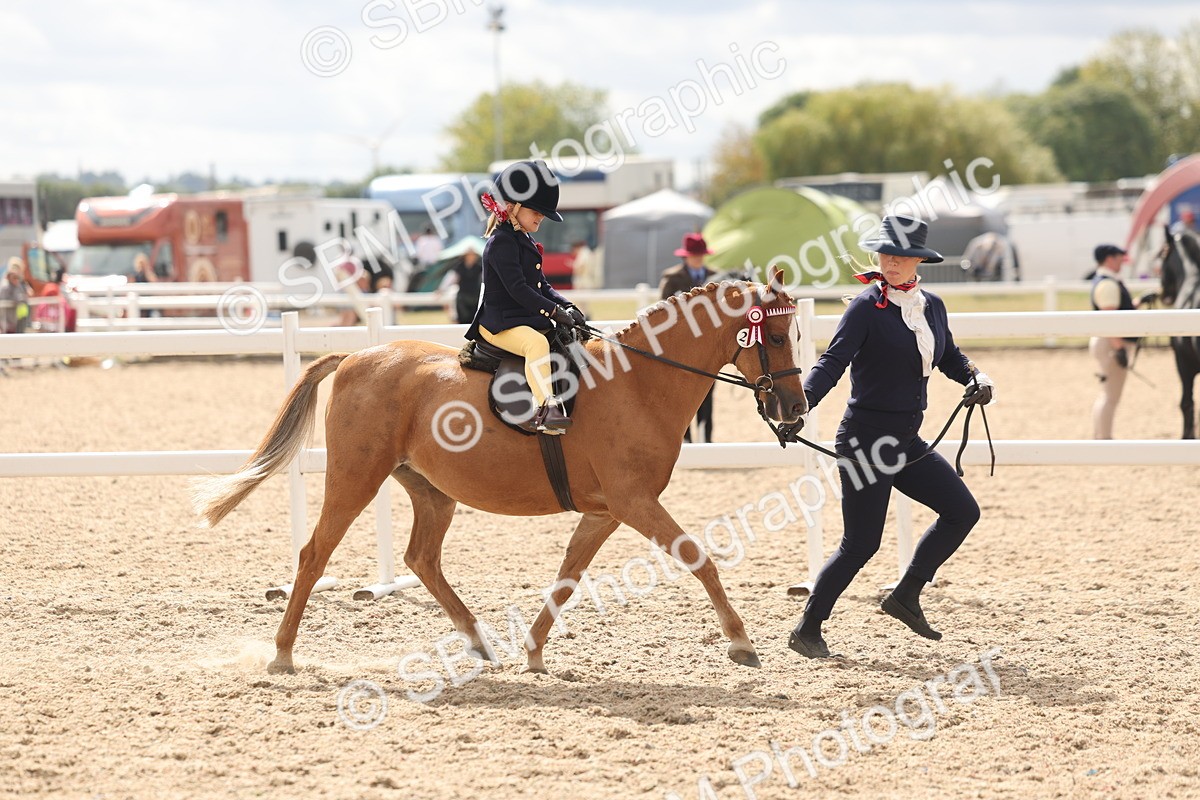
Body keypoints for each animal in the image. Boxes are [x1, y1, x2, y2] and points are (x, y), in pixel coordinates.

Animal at [192, 275, 808, 674]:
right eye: (776, 337)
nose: (795, 413)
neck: (638, 382)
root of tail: (354, 358)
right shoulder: (634, 503)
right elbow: (699, 559)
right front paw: (741, 643)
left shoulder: (605, 512)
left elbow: (568, 575)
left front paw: (532, 652)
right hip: (355, 479)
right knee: (315, 554)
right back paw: (282, 653)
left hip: (430, 491)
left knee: (422, 559)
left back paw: (479, 641)